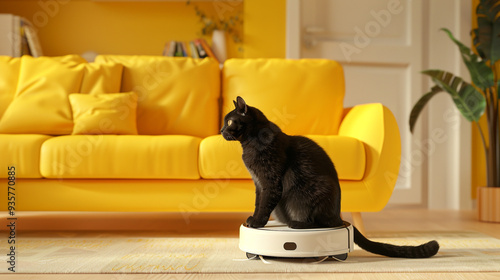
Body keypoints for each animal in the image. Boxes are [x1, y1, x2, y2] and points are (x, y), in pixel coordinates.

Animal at [221, 96, 440, 258]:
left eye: (230, 121)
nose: (221, 130)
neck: (249, 144)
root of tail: (338, 214)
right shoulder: (259, 183)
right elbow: (259, 202)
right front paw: (253, 219)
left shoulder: (270, 182)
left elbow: (264, 204)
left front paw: (257, 222)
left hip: (310, 193)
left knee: (325, 223)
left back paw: (297, 224)